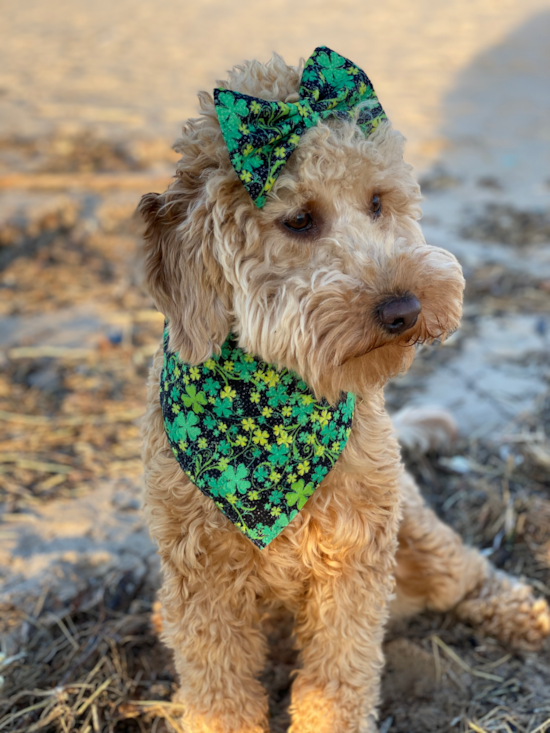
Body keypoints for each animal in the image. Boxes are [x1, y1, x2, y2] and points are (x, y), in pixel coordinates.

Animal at [139, 48, 550, 728]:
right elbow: (219, 689)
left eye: (378, 202)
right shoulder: (202, 582)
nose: (404, 308)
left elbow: (338, 676)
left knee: (470, 572)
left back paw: (526, 614)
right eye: (300, 220)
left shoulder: (353, 561)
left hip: (416, 531)